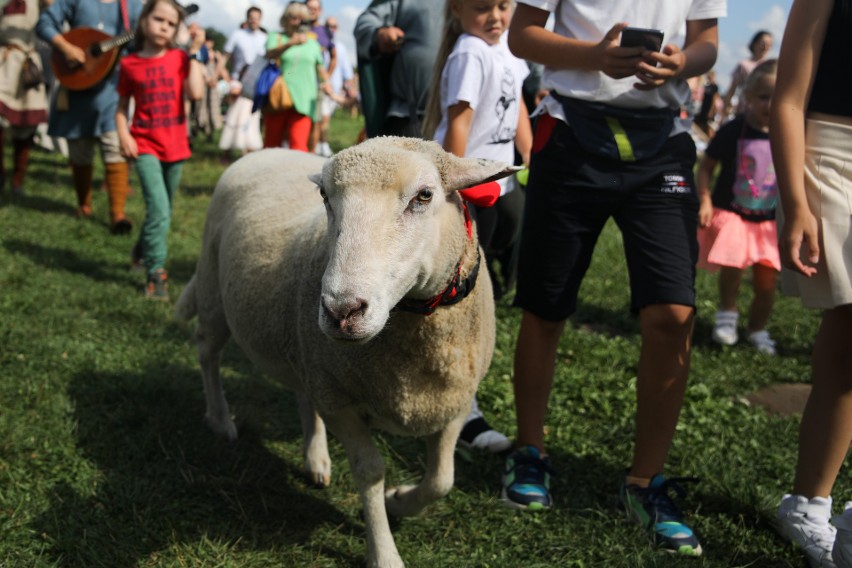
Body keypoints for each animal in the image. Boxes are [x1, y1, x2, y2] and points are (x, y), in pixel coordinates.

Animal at [176, 135, 516, 564]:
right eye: (324, 195)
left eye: (424, 196)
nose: (342, 311)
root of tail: (267, 149)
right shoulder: (340, 402)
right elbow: (370, 470)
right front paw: (384, 552)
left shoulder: (453, 402)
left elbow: (442, 479)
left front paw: (398, 501)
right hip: (214, 291)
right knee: (207, 352)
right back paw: (221, 420)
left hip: (304, 348)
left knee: (302, 392)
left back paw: (316, 459)